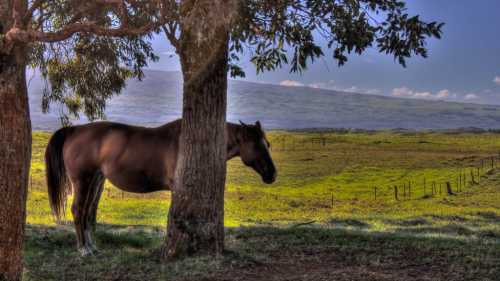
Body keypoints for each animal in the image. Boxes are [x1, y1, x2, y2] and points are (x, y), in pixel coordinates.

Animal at [44, 119, 276, 255]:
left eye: (268, 144)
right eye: (256, 145)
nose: (272, 174)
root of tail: (75, 130)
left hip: (95, 180)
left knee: (87, 212)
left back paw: (91, 245)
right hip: (83, 181)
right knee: (78, 210)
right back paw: (84, 249)